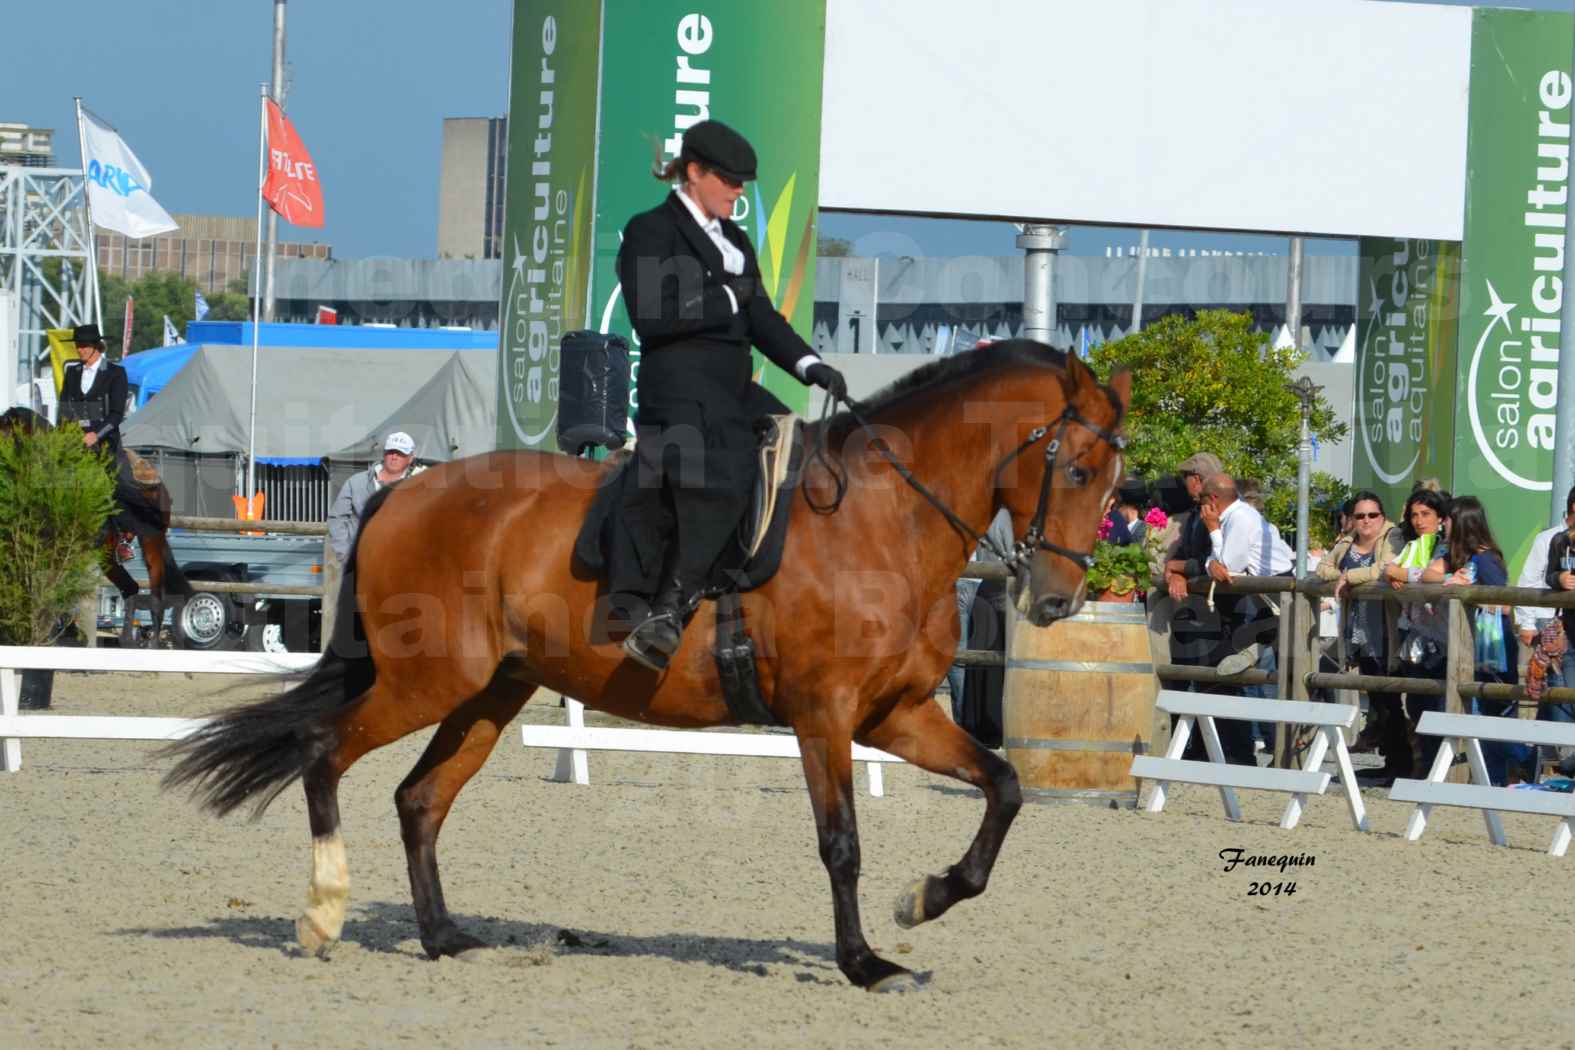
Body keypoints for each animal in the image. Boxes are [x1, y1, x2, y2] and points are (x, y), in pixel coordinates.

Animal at [163, 344, 1134, 994]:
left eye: (1115, 484)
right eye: (1077, 468)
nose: (1056, 602)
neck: (885, 518)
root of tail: (405, 491)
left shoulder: (895, 713)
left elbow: (1004, 784)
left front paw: (925, 899)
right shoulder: (824, 715)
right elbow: (841, 844)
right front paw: (864, 962)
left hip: (490, 691)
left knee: (419, 799)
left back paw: (447, 938)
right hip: (425, 680)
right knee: (325, 750)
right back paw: (323, 912)